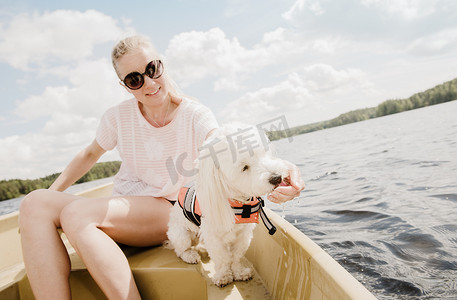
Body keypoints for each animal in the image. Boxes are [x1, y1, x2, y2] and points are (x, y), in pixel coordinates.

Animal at [167, 123, 288, 286]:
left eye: (263, 154)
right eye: (244, 167)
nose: (276, 178)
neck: (237, 200)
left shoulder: (243, 234)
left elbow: (236, 255)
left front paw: (239, 272)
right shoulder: (213, 237)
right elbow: (222, 258)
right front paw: (224, 276)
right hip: (181, 234)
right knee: (180, 249)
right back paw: (190, 255)